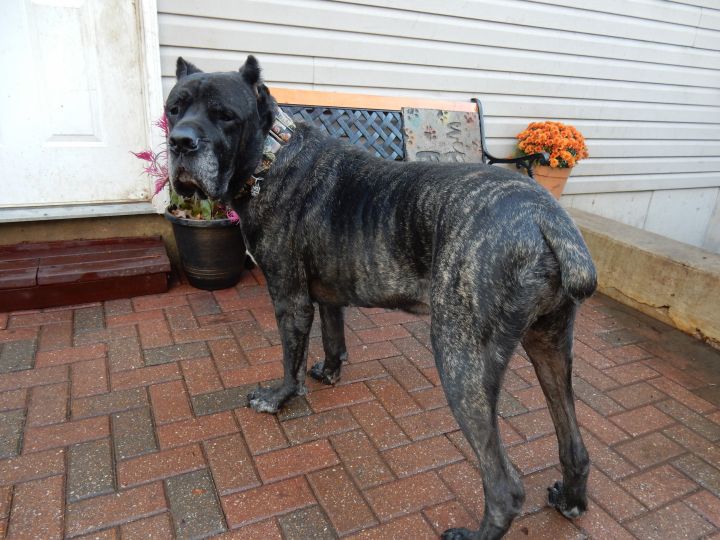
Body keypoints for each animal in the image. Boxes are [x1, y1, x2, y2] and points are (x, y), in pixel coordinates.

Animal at [167, 57, 596, 536]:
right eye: (173, 109)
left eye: (224, 115)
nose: (179, 142)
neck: (270, 157)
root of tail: (547, 219)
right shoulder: (327, 294)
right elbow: (333, 337)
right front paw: (330, 371)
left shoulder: (289, 296)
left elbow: (289, 358)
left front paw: (279, 398)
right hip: (549, 346)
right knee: (574, 443)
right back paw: (571, 499)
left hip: (462, 359)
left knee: (505, 486)